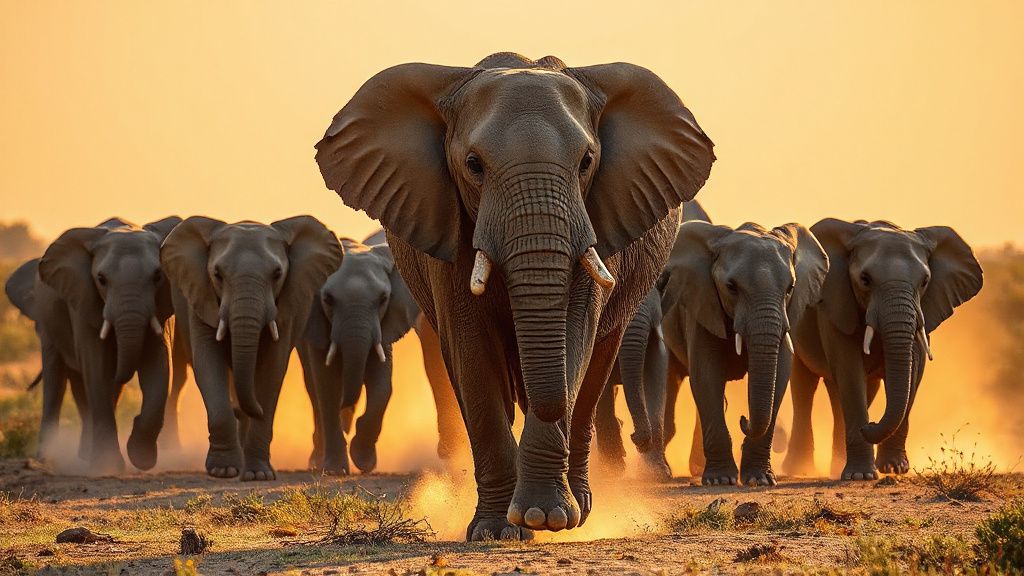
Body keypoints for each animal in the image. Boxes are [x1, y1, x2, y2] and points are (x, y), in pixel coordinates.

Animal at [4, 217, 181, 473]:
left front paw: (140, 458)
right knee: (58, 380)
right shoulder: (82, 298)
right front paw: (107, 465)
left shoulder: (162, 307)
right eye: (101, 279)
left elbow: (159, 366)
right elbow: (96, 366)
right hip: (48, 321)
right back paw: (51, 458)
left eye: (158, 276)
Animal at [160, 216, 342, 480]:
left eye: (277, 274)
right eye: (217, 274)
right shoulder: (201, 297)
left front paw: (258, 475)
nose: (241, 410)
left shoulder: (286, 309)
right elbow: (208, 363)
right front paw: (223, 471)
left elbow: (271, 371)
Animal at [315, 53, 715, 540]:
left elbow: (574, 336)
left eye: (587, 162)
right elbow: (472, 349)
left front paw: (547, 518)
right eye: (473, 164)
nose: (643, 438)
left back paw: (580, 507)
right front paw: (496, 530)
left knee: (595, 366)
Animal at [660, 220, 828, 486]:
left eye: (790, 288)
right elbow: (707, 375)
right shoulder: (703, 304)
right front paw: (720, 481)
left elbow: (780, 375)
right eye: (731, 287)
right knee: (671, 379)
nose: (743, 418)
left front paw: (760, 480)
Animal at [782, 219, 982, 480]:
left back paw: (837, 464)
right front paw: (860, 476)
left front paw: (894, 469)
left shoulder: (924, 310)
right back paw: (800, 469)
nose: (870, 424)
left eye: (925, 282)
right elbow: (849, 370)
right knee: (804, 385)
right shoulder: (835, 304)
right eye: (865, 279)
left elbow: (913, 372)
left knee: (850, 392)